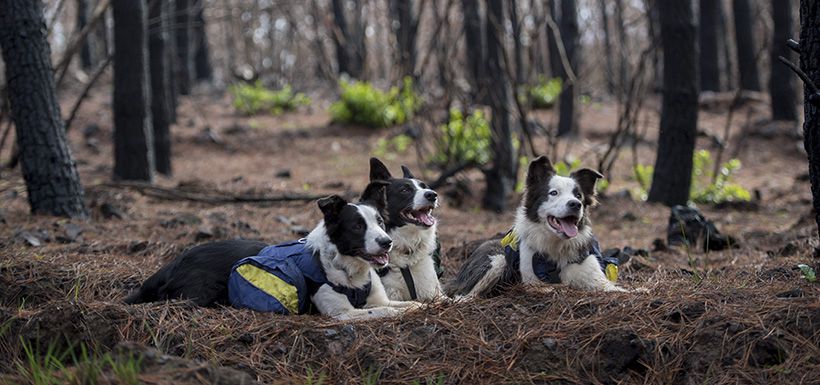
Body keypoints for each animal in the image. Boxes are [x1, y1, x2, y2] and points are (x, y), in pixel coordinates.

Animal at [125, 182, 420, 320]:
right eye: (358, 226)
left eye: (379, 222)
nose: (386, 242)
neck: (349, 270)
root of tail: (173, 263)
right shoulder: (342, 314)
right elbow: (383, 312)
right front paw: (400, 314)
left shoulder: (379, 299)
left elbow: (409, 303)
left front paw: (423, 305)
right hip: (204, 291)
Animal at [446, 154, 624, 296]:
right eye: (553, 193)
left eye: (578, 195)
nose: (575, 204)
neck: (557, 247)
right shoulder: (533, 282)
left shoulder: (594, 276)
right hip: (497, 259)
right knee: (462, 296)